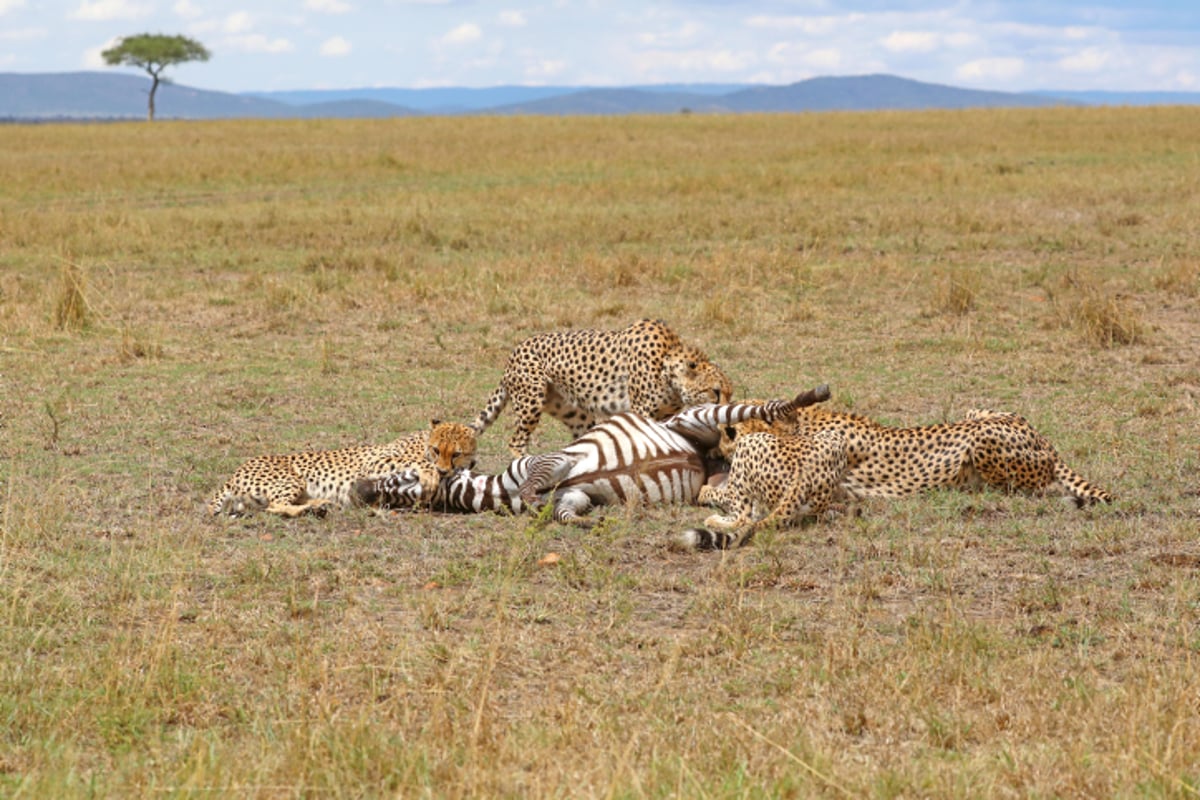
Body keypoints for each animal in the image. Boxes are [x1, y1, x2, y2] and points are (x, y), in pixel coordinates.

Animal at [208, 419, 475, 520]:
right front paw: (429, 474)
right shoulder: (374, 463)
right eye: (437, 450)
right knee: (276, 505)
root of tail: (234, 474)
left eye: (456, 453)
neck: (423, 441)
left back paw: (320, 505)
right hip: (292, 479)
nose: (443, 471)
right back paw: (314, 508)